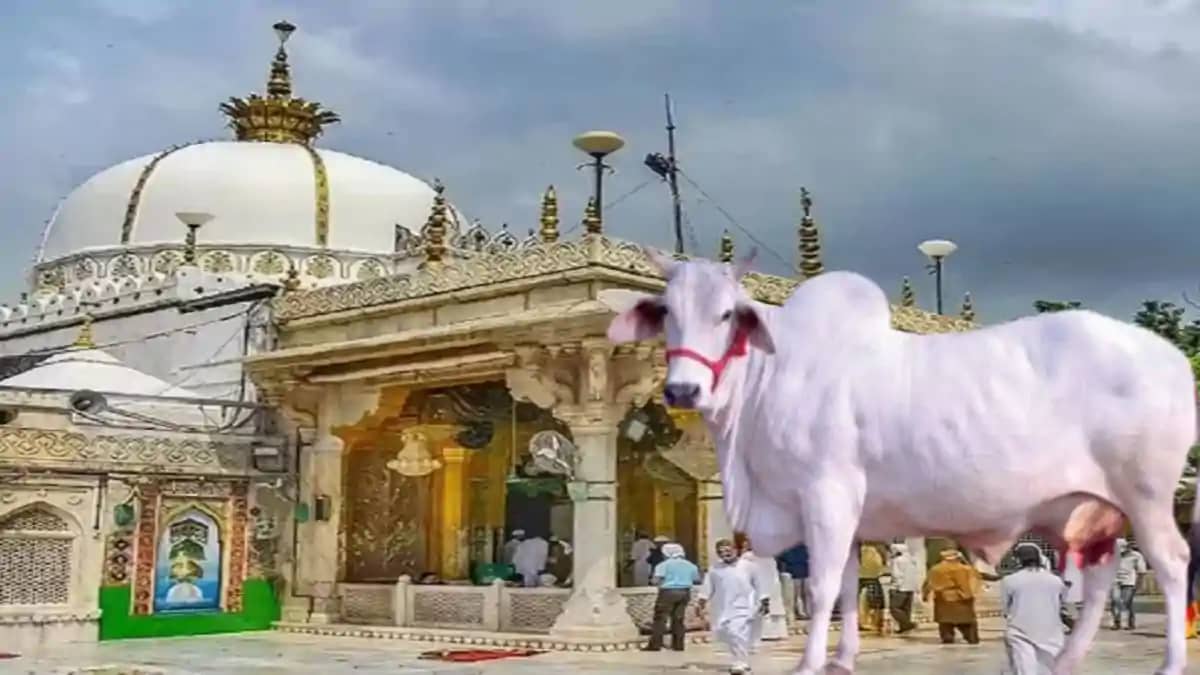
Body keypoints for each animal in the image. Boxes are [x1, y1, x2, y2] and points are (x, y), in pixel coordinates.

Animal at [603, 250, 1195, 675]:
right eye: (667, 313)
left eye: (727, 314)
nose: (682, 390)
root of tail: (1169, 356)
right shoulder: (844, 515)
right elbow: (845, 587)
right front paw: (842, 659)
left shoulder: (827, 494)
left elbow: (822, 586)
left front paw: (809, 663)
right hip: (1091, 509)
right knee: (1096, 581)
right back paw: (1069, 660)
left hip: (1146, 495)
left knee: (1170, 563)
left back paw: (1169, 663)